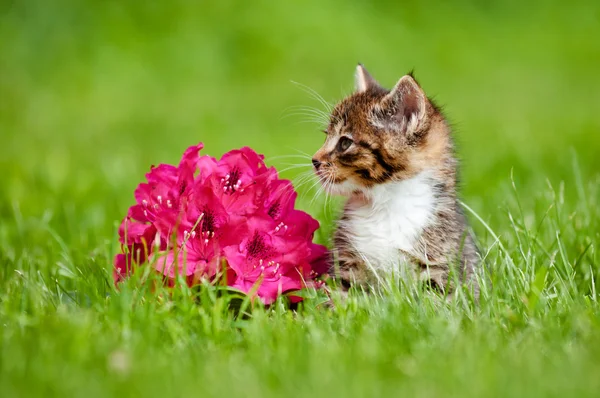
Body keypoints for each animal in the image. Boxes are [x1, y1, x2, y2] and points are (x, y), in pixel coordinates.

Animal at [312, 64, 480, 296]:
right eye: (326, 135)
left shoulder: (444, 265)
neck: (385, 204)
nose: (314, 160)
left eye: (345, 143)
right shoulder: (346, 266)